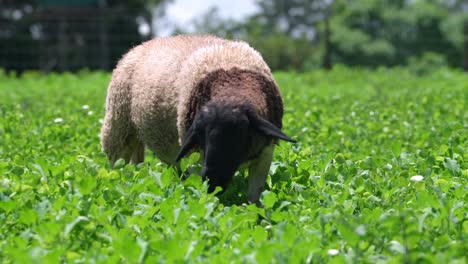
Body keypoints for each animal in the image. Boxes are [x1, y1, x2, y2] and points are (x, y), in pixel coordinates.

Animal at [100, 35, 294, 203]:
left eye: (239, 135)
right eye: (203, 136)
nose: (212, 182)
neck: (232, 80)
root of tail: (137, 47)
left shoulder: (265, 154)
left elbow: (254, 199)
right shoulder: (192, 155)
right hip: (118, 129)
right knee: (118, 165)